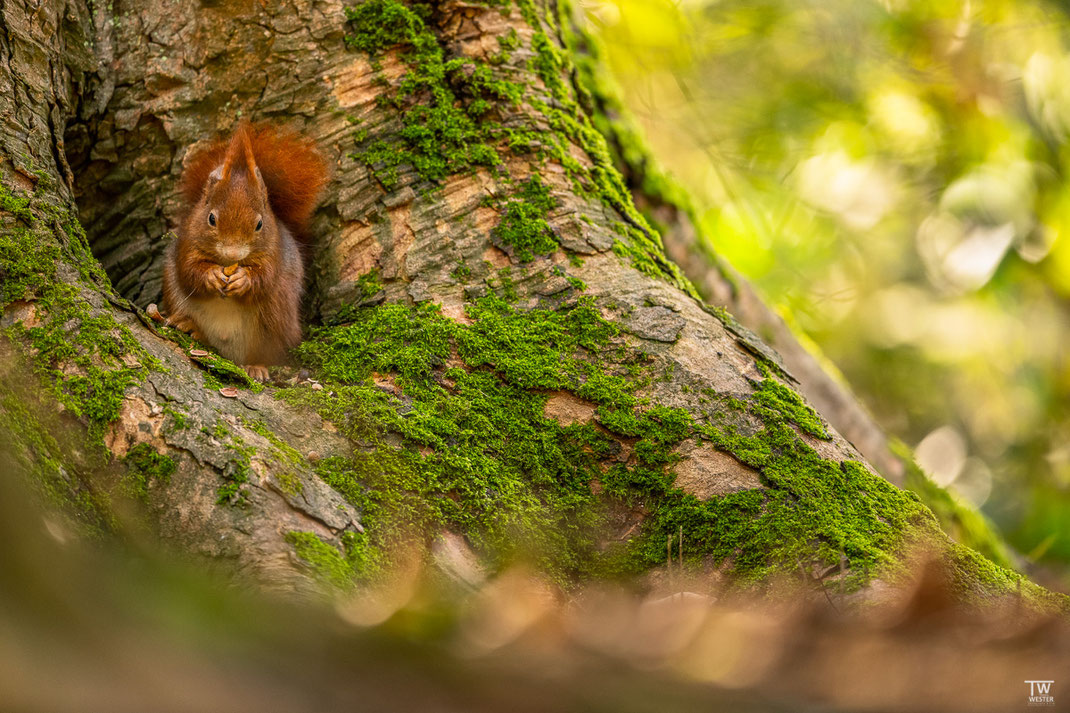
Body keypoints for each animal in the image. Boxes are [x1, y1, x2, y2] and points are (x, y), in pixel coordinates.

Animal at [161, 123, 325, 381]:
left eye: (259, 224)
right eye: (211, 218)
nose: (233, 253)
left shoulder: (274, 252)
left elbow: (265, 277)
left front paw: (243, 280)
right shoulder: (187, 241)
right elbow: (189, 270)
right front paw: (211, 276)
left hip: (274, 318)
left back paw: (256, 367)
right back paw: (189, 326)